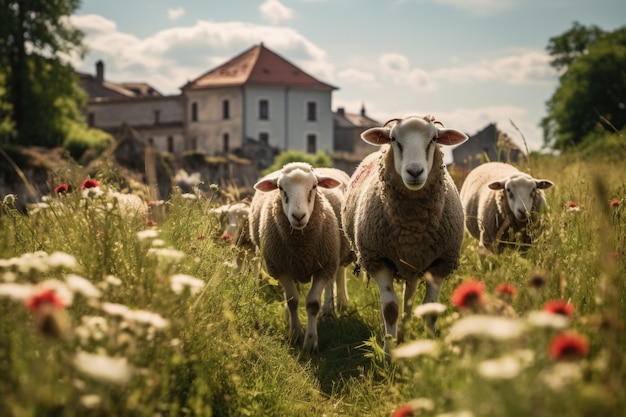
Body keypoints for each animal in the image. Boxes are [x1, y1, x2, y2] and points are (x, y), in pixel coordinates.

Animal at [247, 161, 344, 352]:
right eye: (280, 188)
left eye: (314, 186)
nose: (298, 216)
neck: (301, 247)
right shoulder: (281, 268)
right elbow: (292, 300)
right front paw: (295, 334)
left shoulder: (323, 267)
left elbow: (313, 303)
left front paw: (310, 343)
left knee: (334, 279)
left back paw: (331, 310)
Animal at [342, 114, 468, 352]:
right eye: (394, 139)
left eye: (434, 139)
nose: (415, 172)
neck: (413, 229)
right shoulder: (377, 260)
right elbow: (390, 308)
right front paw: (388, 351)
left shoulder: (441, 262)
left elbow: (430, 308)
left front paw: (432, 348)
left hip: (414, 264)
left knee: (409, 296)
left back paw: (404, 332)